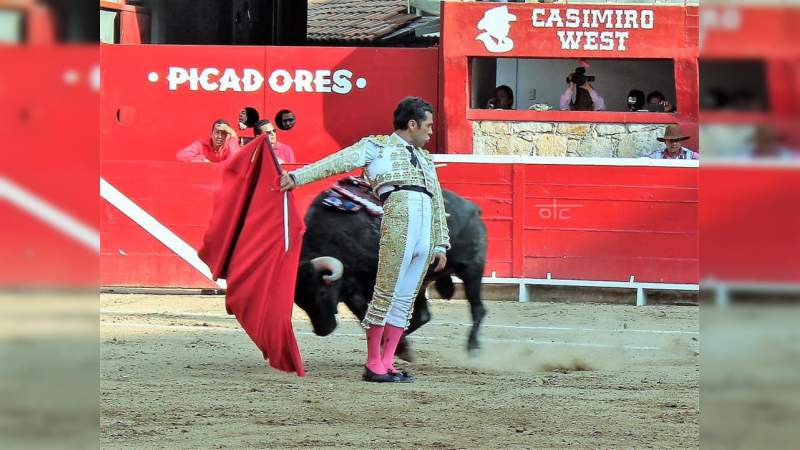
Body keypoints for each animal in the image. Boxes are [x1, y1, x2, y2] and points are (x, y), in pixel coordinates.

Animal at [294, 189, 488, 358]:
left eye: (321, 292)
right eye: (299, 301)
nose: (322, 330)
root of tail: (473, 208)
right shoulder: (352, 289)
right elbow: (362, 314)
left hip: (472, 270)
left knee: (477, 308)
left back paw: (472, 347)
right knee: (423, 315)